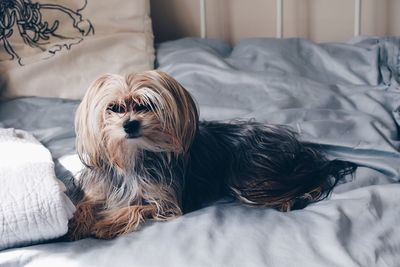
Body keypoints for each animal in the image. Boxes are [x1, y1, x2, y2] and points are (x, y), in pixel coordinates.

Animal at [67, 69, 354, 241]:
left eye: (145, 106)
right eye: (114, 108)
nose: (130, 125)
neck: (132, 158)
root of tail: (296, 145)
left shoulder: (167, 201)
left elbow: (137, 206)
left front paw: (105, 224)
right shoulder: (100, 189)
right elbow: (83, 203)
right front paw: (76, 223)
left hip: (249, 177)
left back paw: (292, 200)